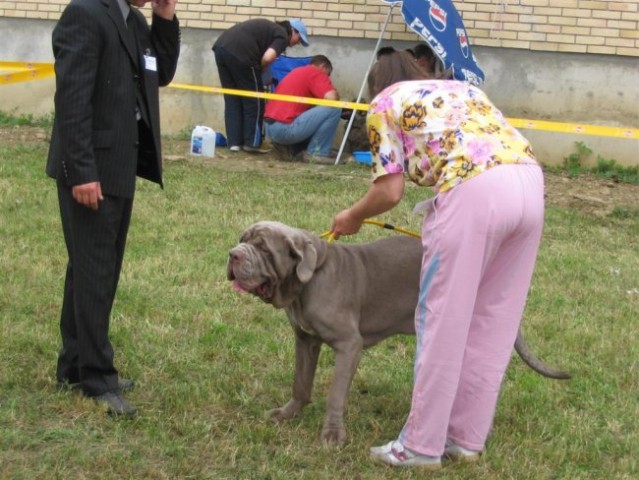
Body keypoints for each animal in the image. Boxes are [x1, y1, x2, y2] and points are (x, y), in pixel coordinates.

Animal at [226, 221, 568, 446]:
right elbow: (301, 381)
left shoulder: (349, 345)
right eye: (243, 239)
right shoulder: (306, 340)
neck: (306, 281)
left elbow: (336, 394)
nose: (232, 254)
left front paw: (333, 434)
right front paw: (289, 413)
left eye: (263, 248)